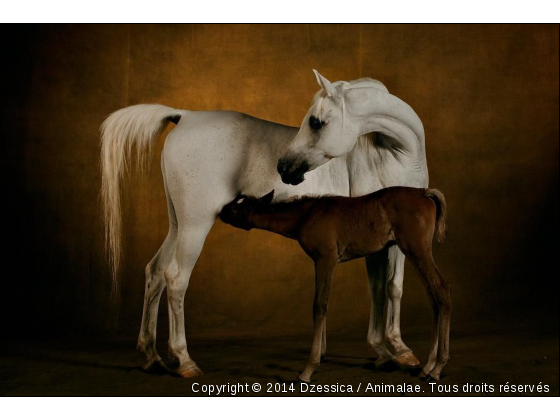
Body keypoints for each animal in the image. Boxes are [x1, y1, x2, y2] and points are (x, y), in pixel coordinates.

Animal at [100, 69, 426, 378]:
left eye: (316, 122)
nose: (283, 167)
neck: (395, 155)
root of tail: (185, 116)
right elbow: (387, 287)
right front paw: (395, 349)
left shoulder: (386, 241)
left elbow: (385, 288)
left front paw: (387, 350)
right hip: (195, 226)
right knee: (176, 278)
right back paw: (184, 360)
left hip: (177, 225)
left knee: (155, 272)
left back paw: (151, 357)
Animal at [220, 186, 450, 380]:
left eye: (236, 208)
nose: (221, 211)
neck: (305, 215)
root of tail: (424, 192)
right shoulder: (323, 261)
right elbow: (326, 304)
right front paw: (320, 354)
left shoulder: (325, 258)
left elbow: (319, 306)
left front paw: (309, 367)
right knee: (434, 295)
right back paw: (428, 366)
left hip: (416, 248)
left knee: (441, 288)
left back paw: (438, 367)